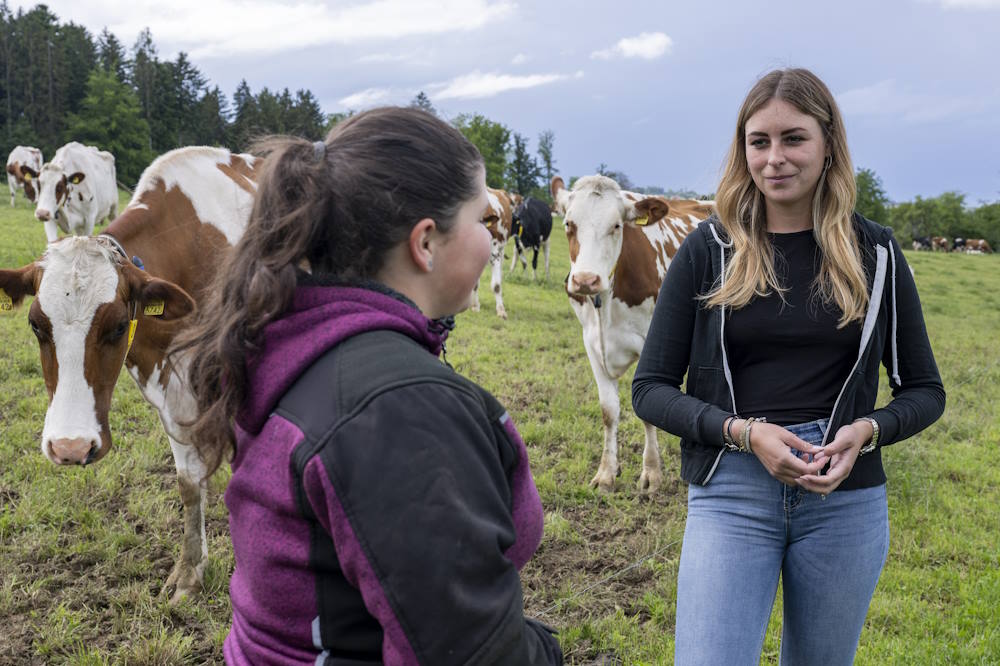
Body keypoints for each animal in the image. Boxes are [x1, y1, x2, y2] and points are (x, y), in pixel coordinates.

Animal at [0, 145, 258, 600]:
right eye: (35, 325)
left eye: (119, 326)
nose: (70, 447)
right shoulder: (171, 392)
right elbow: (188, 483)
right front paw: (189, 572)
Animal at [552, 174, 716, 490]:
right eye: (568, 224)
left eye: (616, 226)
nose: (586, 280)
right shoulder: (591, 343)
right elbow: (608, 411)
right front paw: (606, 473)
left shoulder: (649, 345)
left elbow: (645, 409)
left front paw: (651, 472)